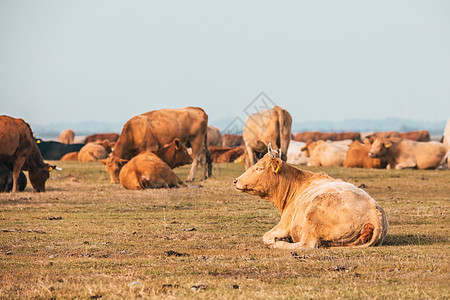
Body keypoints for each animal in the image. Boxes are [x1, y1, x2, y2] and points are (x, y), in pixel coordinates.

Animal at [234, 144, 388, 250]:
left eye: (259, 168)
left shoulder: (285, 223)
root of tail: (374, 212)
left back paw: (279, 244)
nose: (236, 181)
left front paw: (277, 239)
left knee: (306, 245)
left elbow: (266, 236)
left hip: (312, 216)